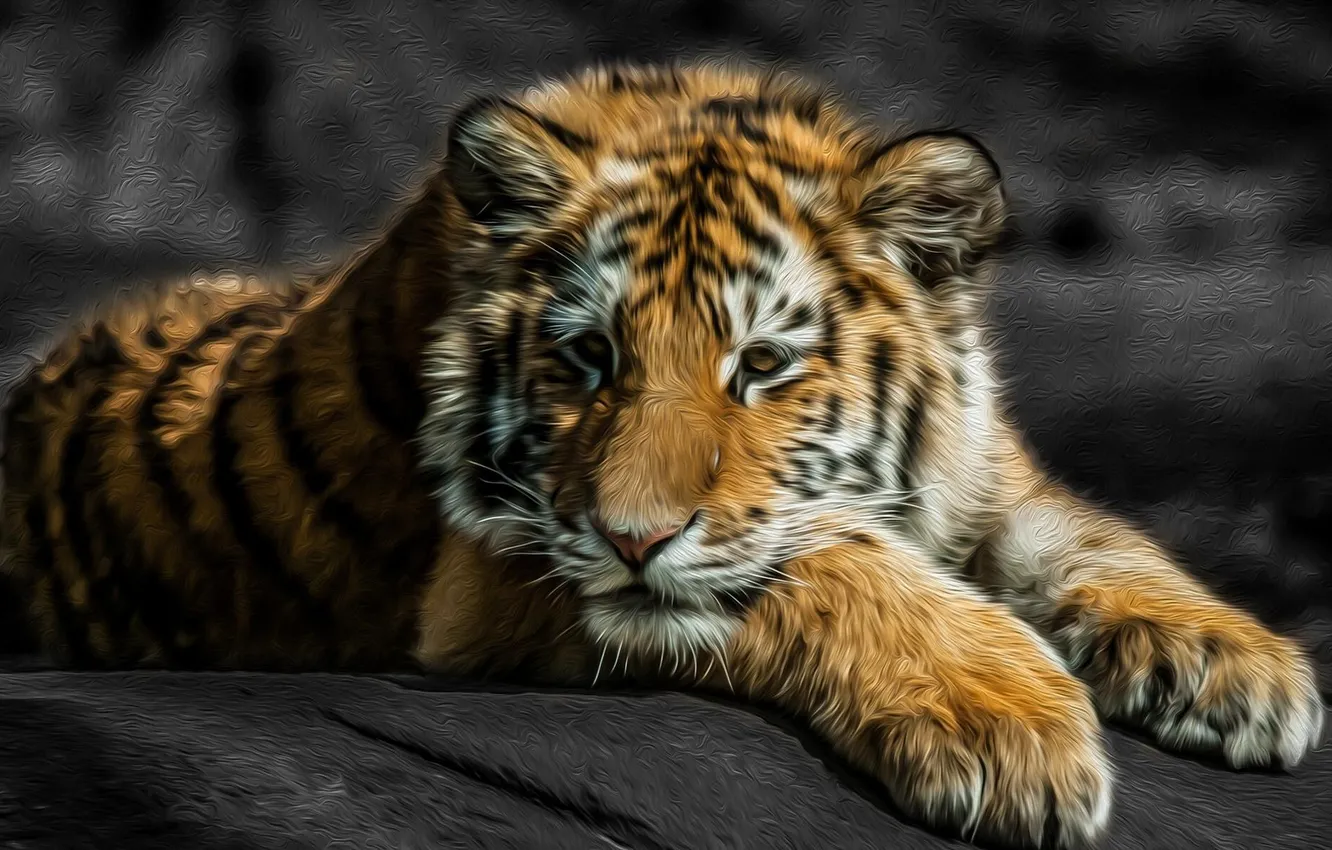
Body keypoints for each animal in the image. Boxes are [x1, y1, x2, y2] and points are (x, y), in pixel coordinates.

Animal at [1, 60, 1323, 849]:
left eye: (762, 365)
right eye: (590, 357)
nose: (633, 535)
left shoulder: (980, 479)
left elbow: (1086, 534)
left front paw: (1242, 669)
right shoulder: (499, 571)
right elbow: (824, 561)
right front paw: (1008, 726)